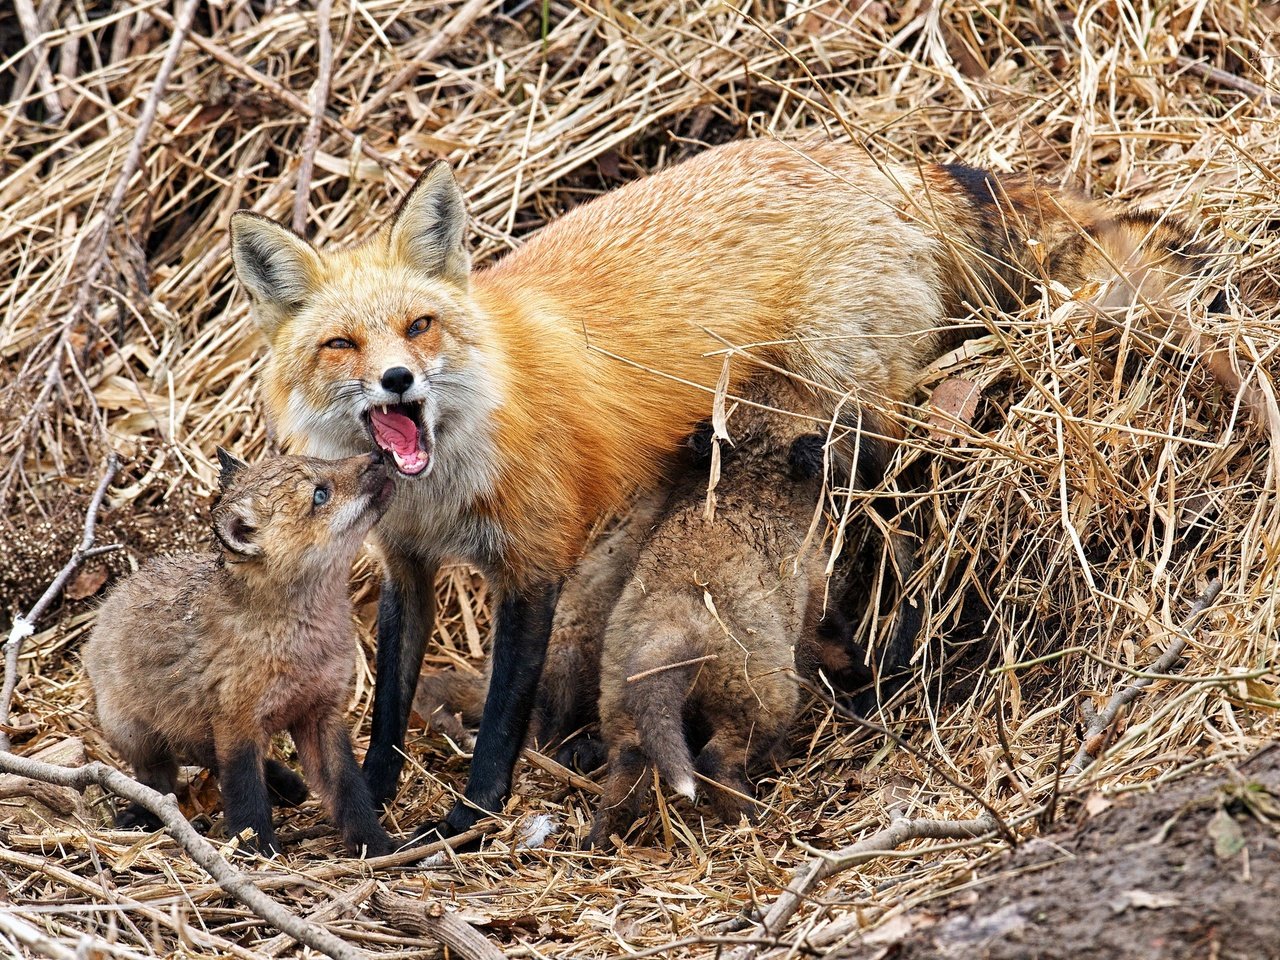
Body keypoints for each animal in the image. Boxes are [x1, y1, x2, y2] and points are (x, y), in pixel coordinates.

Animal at [230, 138, 1259, 839]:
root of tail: (888, 166)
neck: (450, 468)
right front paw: (373, 805)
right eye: (342, 345)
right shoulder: (406, 564)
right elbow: (389, 710)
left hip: (852, 420)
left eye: (419, 325)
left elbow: (499, 723)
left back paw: (885, 665)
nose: (398, 383)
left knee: (896, 522)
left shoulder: (535, 566)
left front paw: (469, 822)